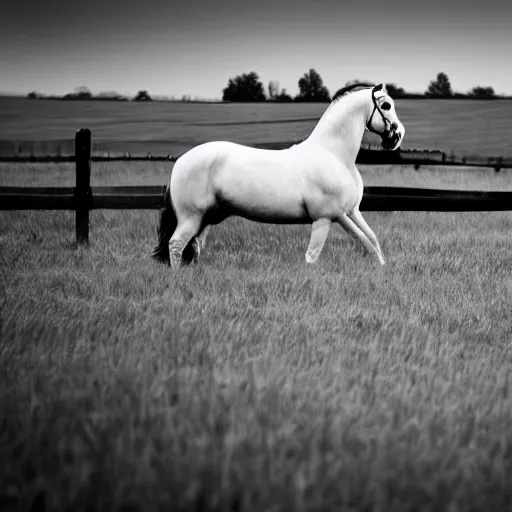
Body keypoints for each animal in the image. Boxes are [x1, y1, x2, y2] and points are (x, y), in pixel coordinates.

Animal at [152, 84, 404, 268]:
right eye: (386, 105)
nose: (398, 136)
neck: (334, 155)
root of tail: (181, 161)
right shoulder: (328, 217)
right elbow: (314, 256)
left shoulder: (350, 212)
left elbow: (371, 241)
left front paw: (382, 267)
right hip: (191, 217)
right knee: (176, 244)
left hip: (205, 219)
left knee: (193, 246)